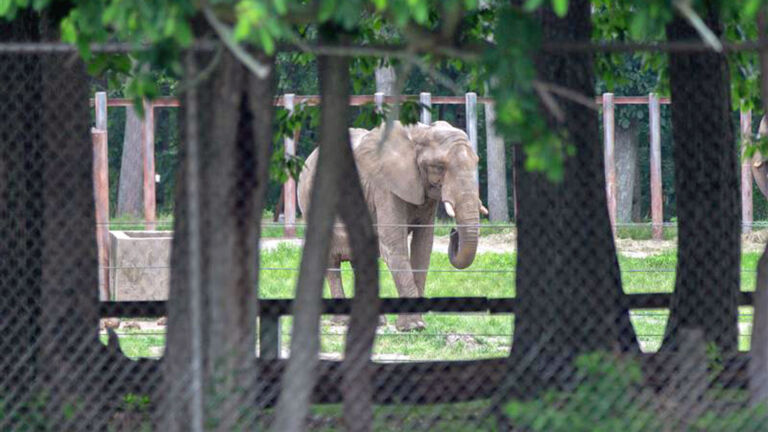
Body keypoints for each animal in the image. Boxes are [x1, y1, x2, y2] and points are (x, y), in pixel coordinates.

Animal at [297, 120, 485, 331]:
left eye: (476, 162)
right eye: (439, 167)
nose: (453, 232)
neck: (420, 134)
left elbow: (423, 248)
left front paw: (416, 325)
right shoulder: (385, 187)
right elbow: (395, 246)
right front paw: (413, 327)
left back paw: (375, 322)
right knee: (331, 259)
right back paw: (342, 321)